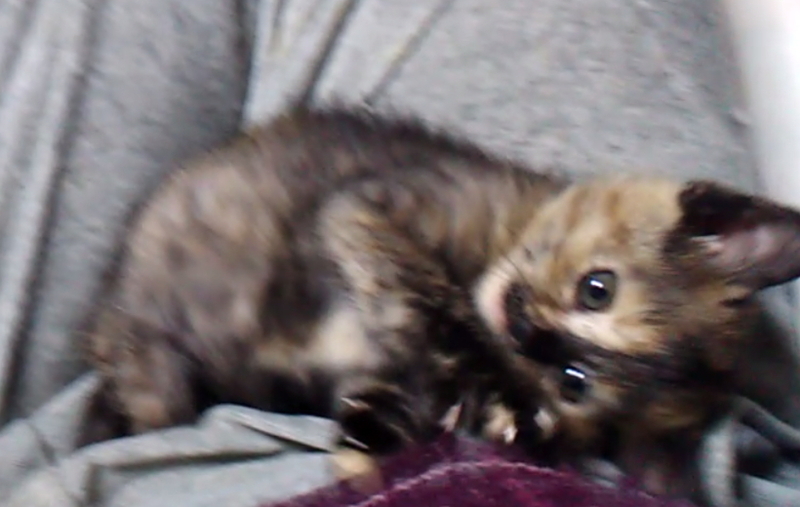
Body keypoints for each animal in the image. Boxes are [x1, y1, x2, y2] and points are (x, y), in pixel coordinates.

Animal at [79, 105, 800, 499]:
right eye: (598, 288)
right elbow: (431, 295)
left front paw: (388, 432)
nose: (528, 330)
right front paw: (486, 388)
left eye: (574, 381)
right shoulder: (367, 206)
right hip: (150, 345)